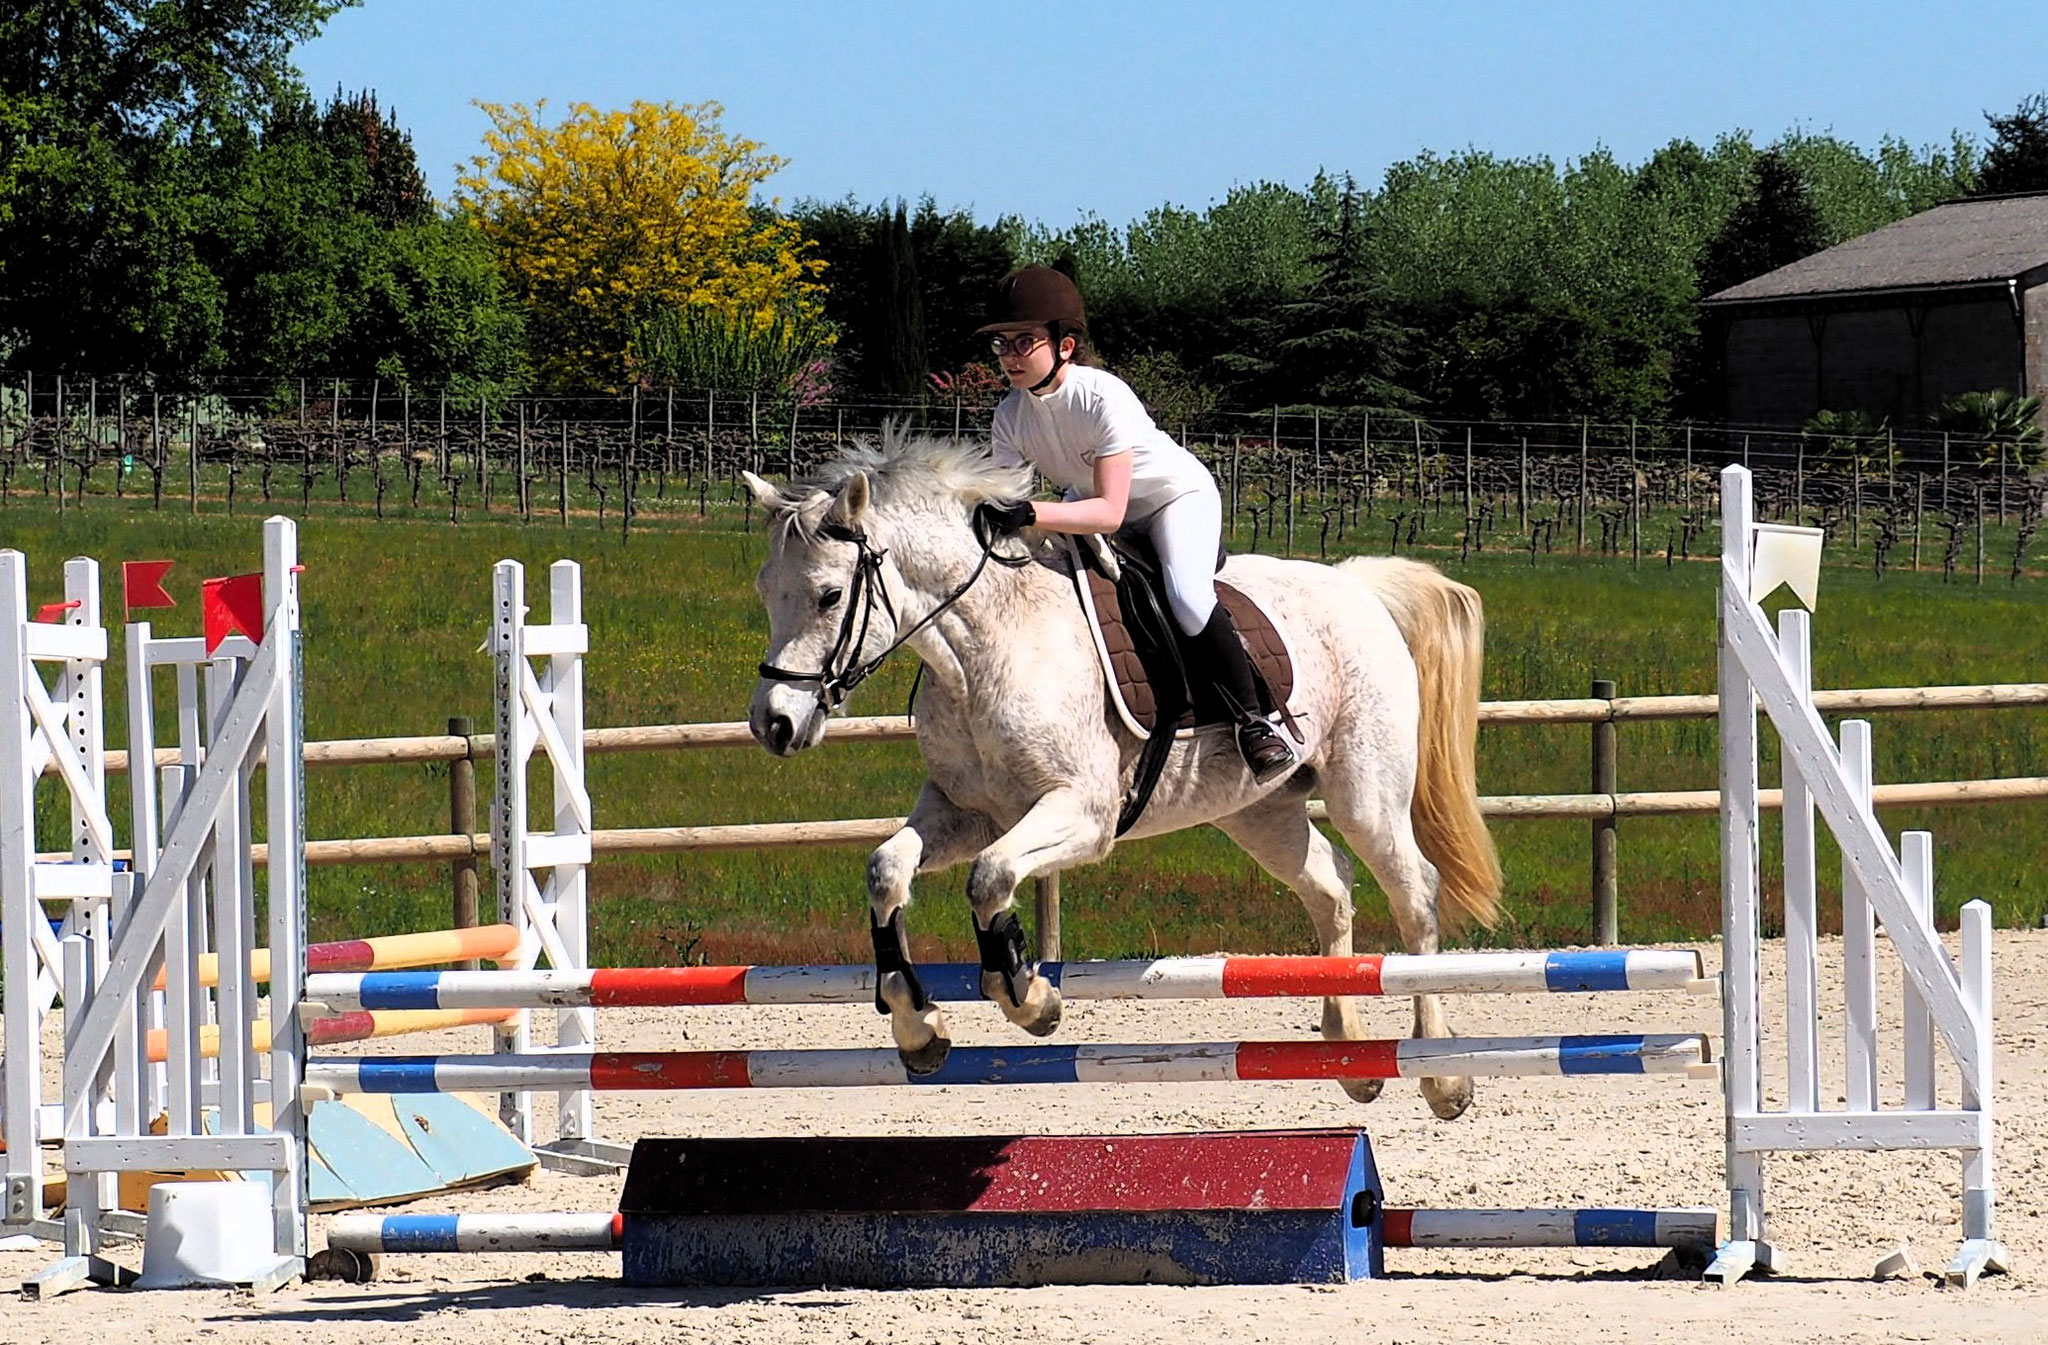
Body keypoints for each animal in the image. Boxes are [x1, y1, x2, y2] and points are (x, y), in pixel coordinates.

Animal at [741, 429, 1507, 1113]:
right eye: (765, 589)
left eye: (830, 595)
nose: (772, 724)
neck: (987, 643)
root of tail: (1356, 585)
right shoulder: (964, 811)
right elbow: (887, 870)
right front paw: (918, 1026)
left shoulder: (1083, 814)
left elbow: (990, 878)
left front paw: (1031, 998)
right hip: (1259, 810)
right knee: (1329, 885)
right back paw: (1350, 1056)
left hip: (1365, 792)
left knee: (1414, 892)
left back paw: (1440, 1074)